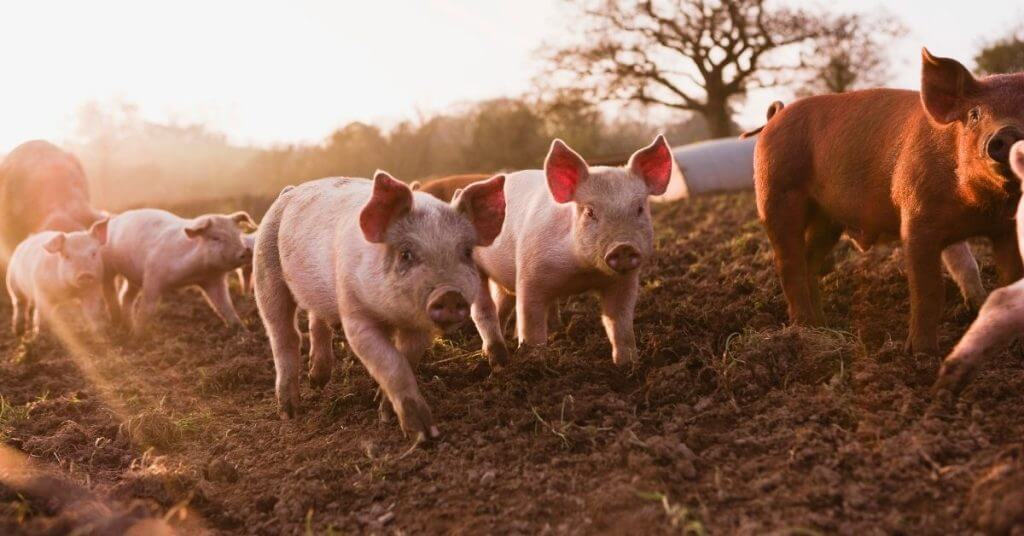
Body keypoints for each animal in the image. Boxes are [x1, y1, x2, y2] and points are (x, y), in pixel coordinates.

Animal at [101, 208, 256, 335]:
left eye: (238, 235)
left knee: (126, 296)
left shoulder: (213, 280)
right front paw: (138, 337)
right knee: (110, 290)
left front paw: (244, 332)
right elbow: (148, 308)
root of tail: (115, 218)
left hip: (134, 278)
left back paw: (128, 325)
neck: (195, 273)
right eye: (216, 238)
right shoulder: (153, 276)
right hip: (107, 266)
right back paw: (119, 323)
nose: (246, 252)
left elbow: (225, 307)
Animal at [254, 171, 505, 439]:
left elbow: (406, 359)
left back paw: (317, 381)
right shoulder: (355, 314)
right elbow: (391, 363)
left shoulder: (419, 327)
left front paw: (385, 413)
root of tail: (289, 191)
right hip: (265, 272)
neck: (392, 316)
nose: (449, 293)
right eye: (406, 254)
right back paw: (289, 412)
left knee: (316, 321)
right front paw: (423, 435)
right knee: (284, 335)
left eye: (467, 253)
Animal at [469, 135, 672, 367]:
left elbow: (620, 323)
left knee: (502, 304)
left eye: (639, 208)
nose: (623, 246)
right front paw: (535, 361)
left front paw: (627, 364)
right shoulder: (530, 275)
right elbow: (531, 324)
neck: (583, 273)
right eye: (590, 212)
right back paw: (495, 358)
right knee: (484, 310)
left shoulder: (624, 282)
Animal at [754, 49, 1024, 355]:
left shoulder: (1005, 228)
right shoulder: (916, 219)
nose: (1007, 133)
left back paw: (823, 325)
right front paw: (921, 353)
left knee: (809, 261)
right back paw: (804, 328)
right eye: (974, 114)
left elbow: (1008, 277)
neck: (978, 207)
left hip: (827, 219)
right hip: (776, 195)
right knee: (789, 263)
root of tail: (775, 117)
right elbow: (928, 289)